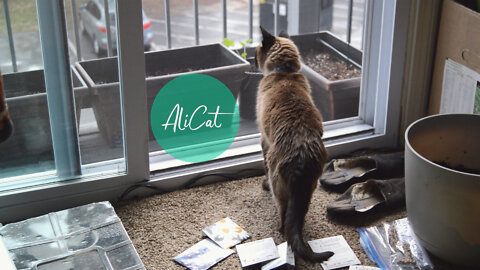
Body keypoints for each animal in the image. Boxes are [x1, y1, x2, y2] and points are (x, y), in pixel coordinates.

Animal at [255, 26, 334, 262]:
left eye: (254, 53)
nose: (251, 61)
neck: (285, 71)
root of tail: (302, 156)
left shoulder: (263, 139)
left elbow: (262, 167)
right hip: (310, 188)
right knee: (298, 217)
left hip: (279, 186)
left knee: (285, 220)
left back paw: (279, 230)